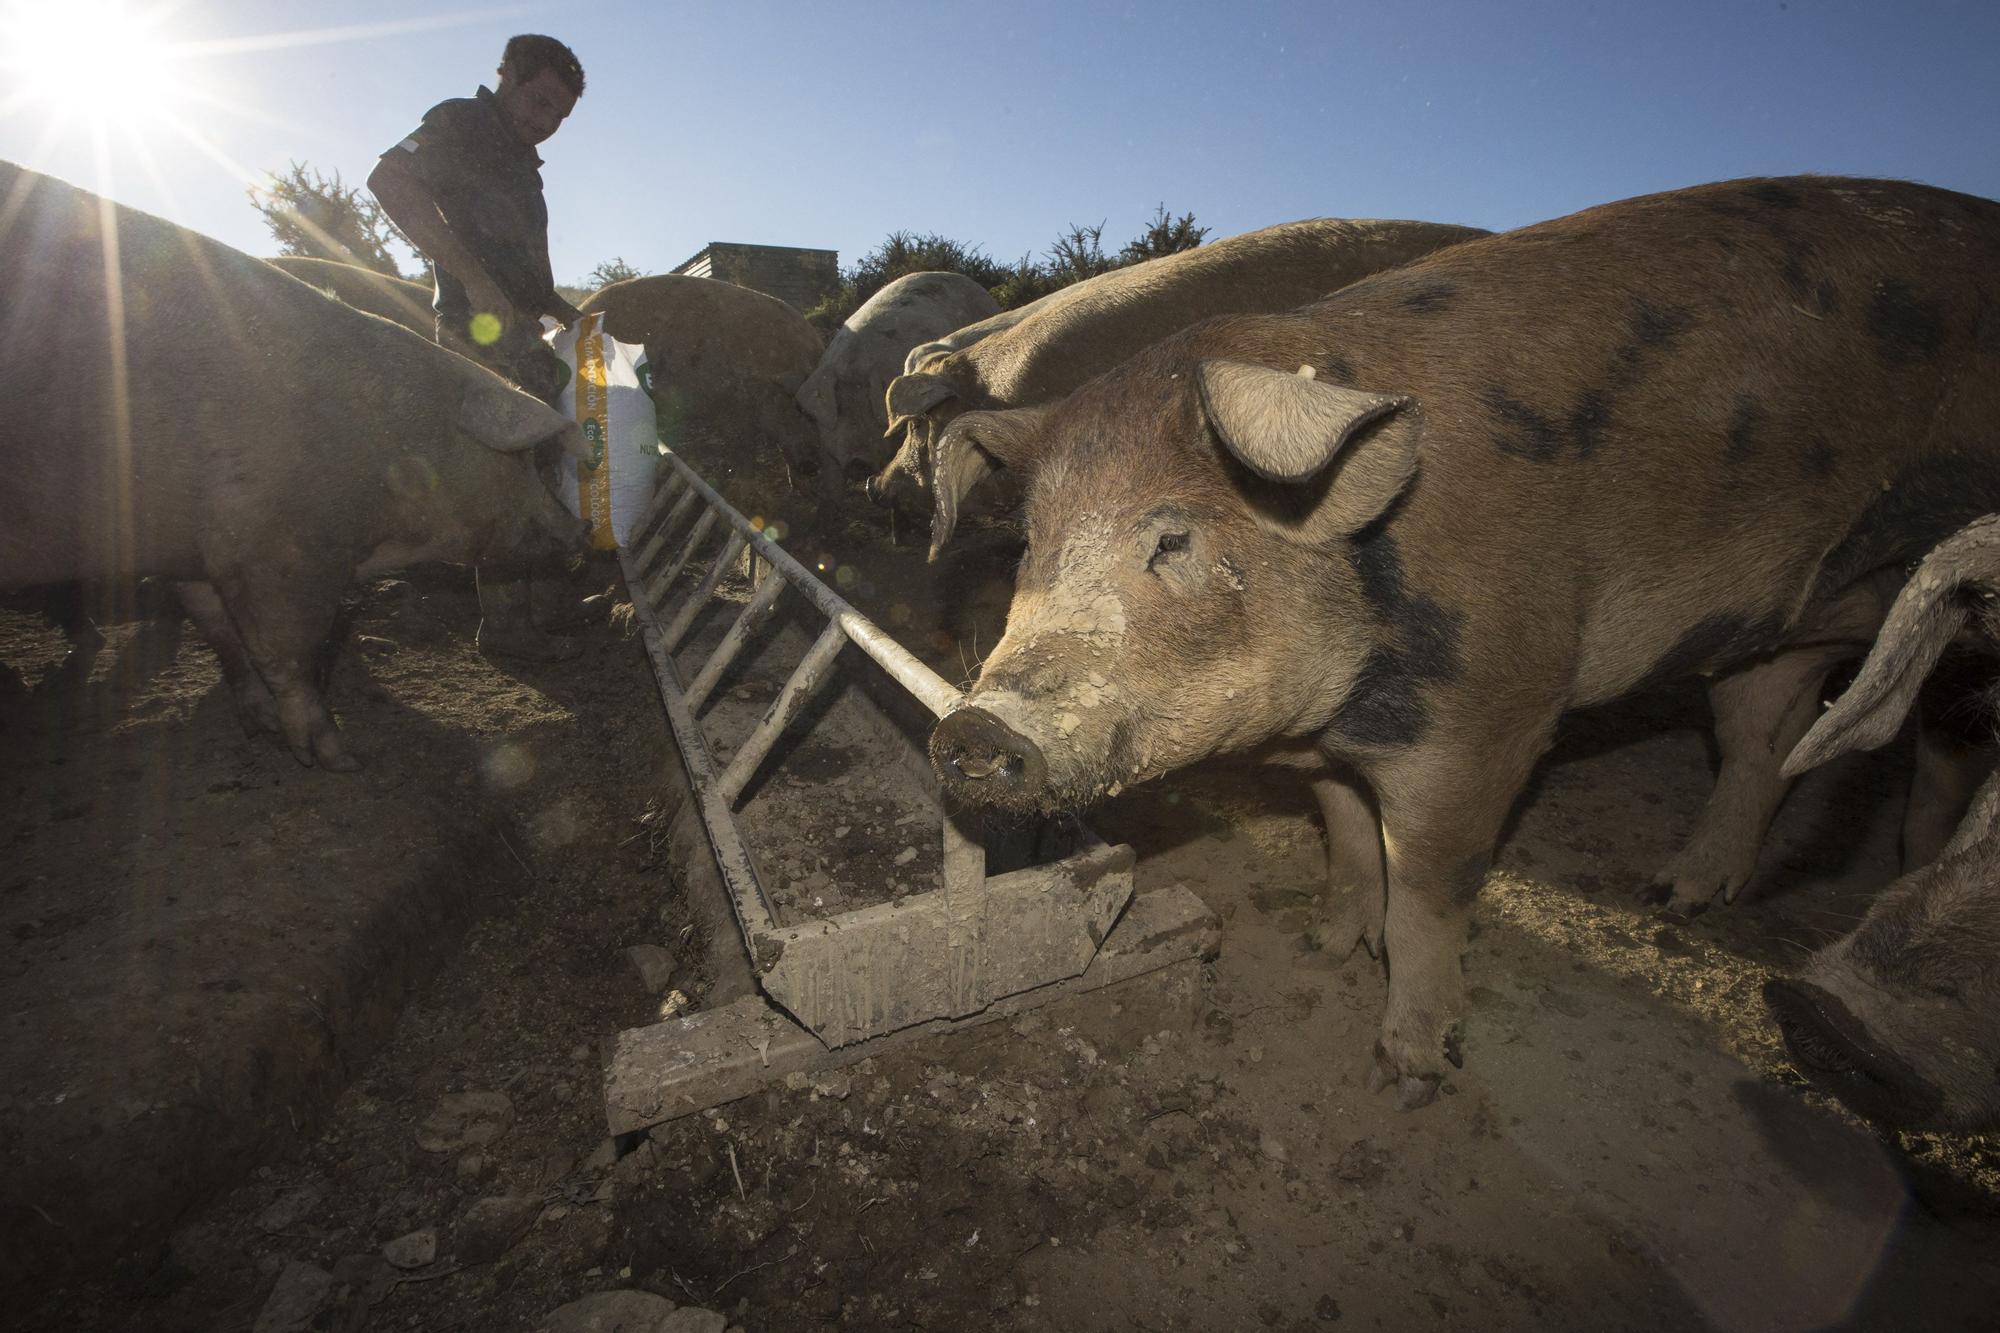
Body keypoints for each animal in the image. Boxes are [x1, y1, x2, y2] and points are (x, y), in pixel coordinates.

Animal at [0, 160, 588, 768]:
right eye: (521, 460)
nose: (580, 529)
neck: (393, 444)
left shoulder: (195, 547)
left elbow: (219, 629)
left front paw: (258, 725)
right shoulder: (273, 546)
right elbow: (285, 649)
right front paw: (334, 756)